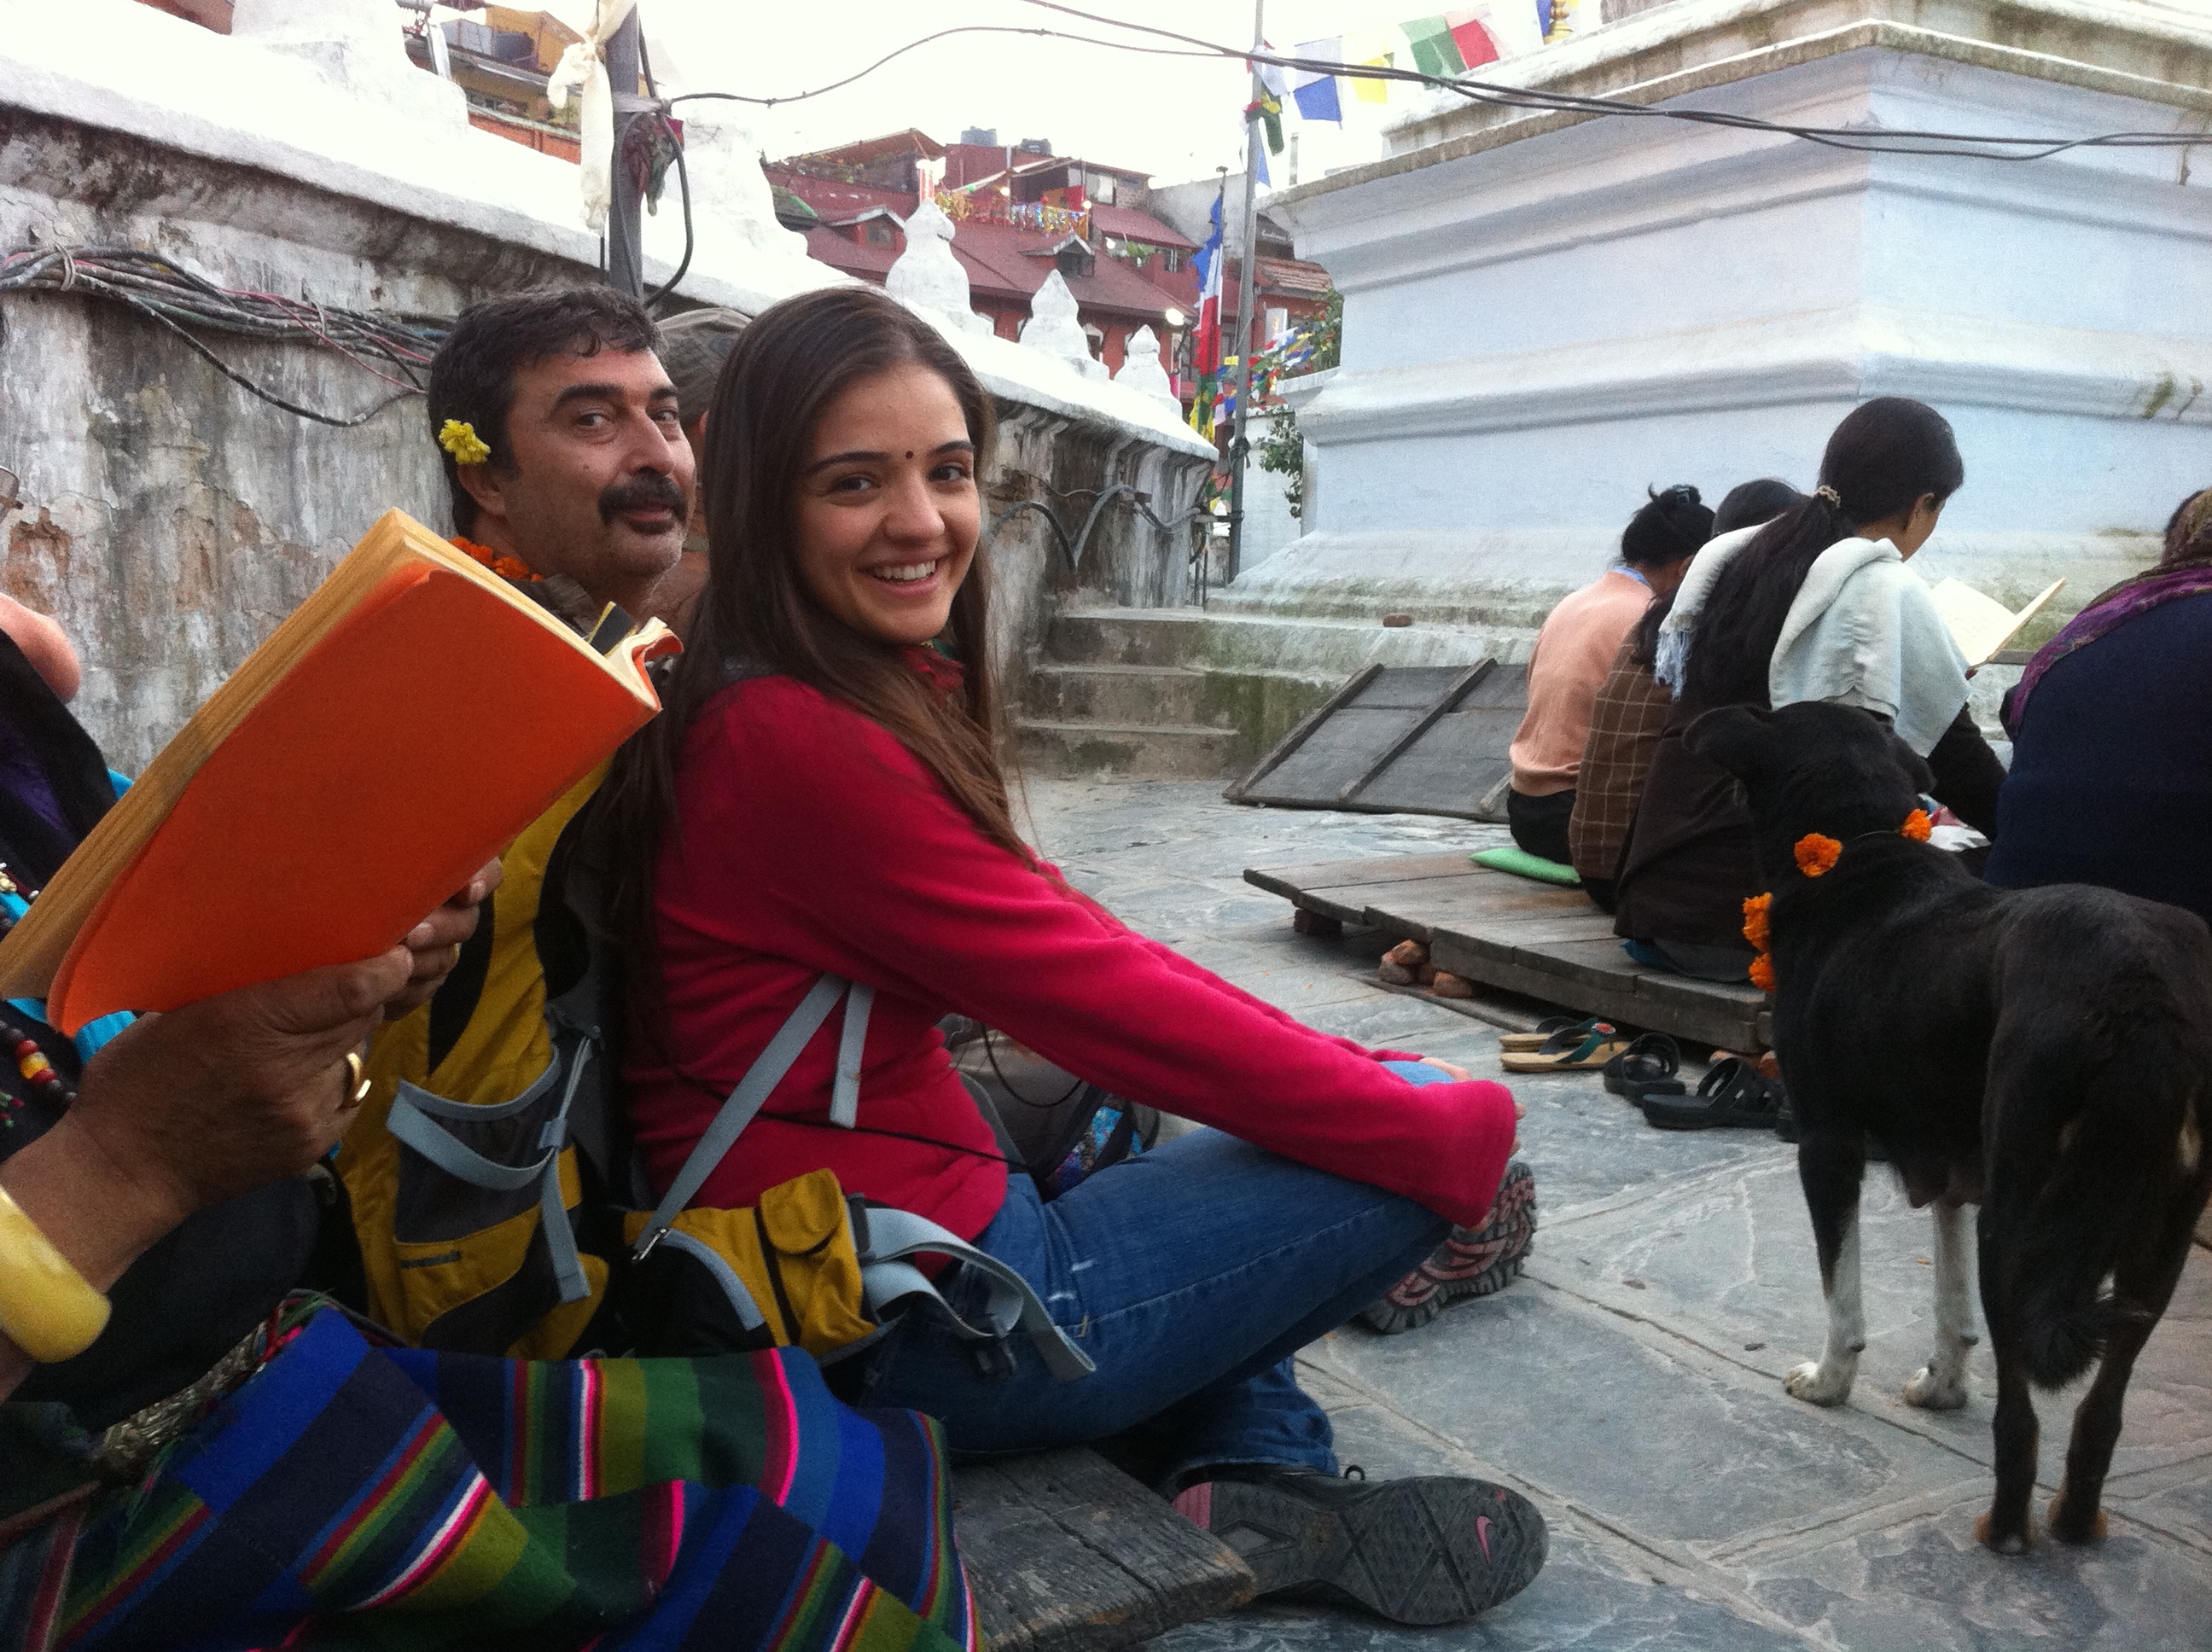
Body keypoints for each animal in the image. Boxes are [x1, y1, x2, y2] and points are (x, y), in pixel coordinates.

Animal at [1685, 701, 2212, 1554]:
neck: (1858, 853)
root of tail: (2139, 991)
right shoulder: (1954, 1162)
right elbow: (1951, 1300)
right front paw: (1943, 1386)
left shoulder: (1828, 1145)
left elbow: (1843, 1295)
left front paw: (1829, 1382)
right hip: (2154, 1242)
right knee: (2100, 1413)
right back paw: (2074, 1522)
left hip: (2025, 1218)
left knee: (2022, 1423)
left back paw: (2005, 1534)